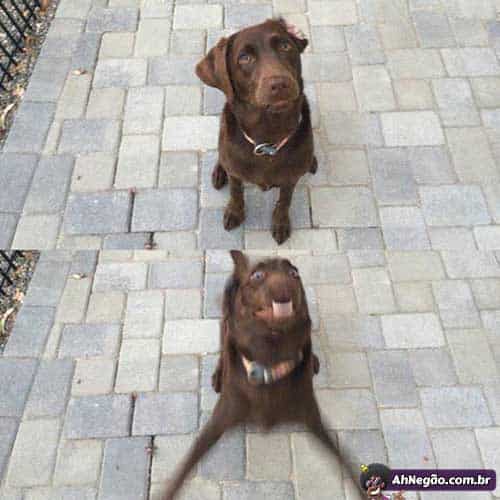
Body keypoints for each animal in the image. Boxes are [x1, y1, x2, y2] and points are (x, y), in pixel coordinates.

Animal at [162, 251, 364, 500]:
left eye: (294, 273)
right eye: (257, 275)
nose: (286, 283)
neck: (270, 362)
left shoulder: (313, 419)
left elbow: (348, 464)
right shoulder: (218, 421)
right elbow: (182, 471)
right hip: (225, 317)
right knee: (223, 342)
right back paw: (219, 373)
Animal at [196, 19, 317, 245]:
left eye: (285, 46)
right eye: (244, 58)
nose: (279, 83)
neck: (268, 138)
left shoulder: (290, 178)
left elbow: (284, 201)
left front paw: (280, 223)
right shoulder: (235, 173)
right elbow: (236, 193)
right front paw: (234, 213)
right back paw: (219, 172)